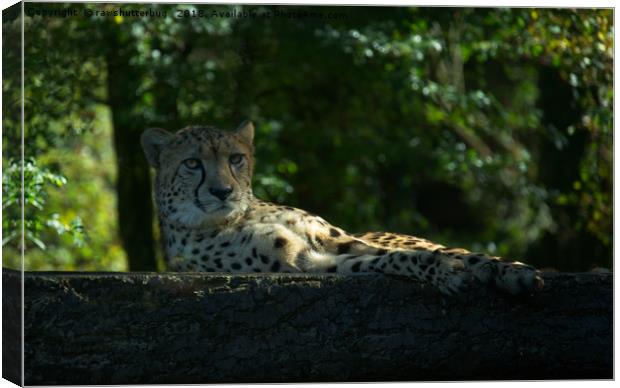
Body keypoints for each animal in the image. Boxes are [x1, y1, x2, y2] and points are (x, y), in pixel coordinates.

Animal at [140, 121, 544, 294]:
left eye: (235, 158)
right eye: (193, 163)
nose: (223, 191)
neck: (239, 215)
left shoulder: (336, 239)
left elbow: (443, 255)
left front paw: (507, 271)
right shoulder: (306, 262)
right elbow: (392, 261)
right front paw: (445, 273)